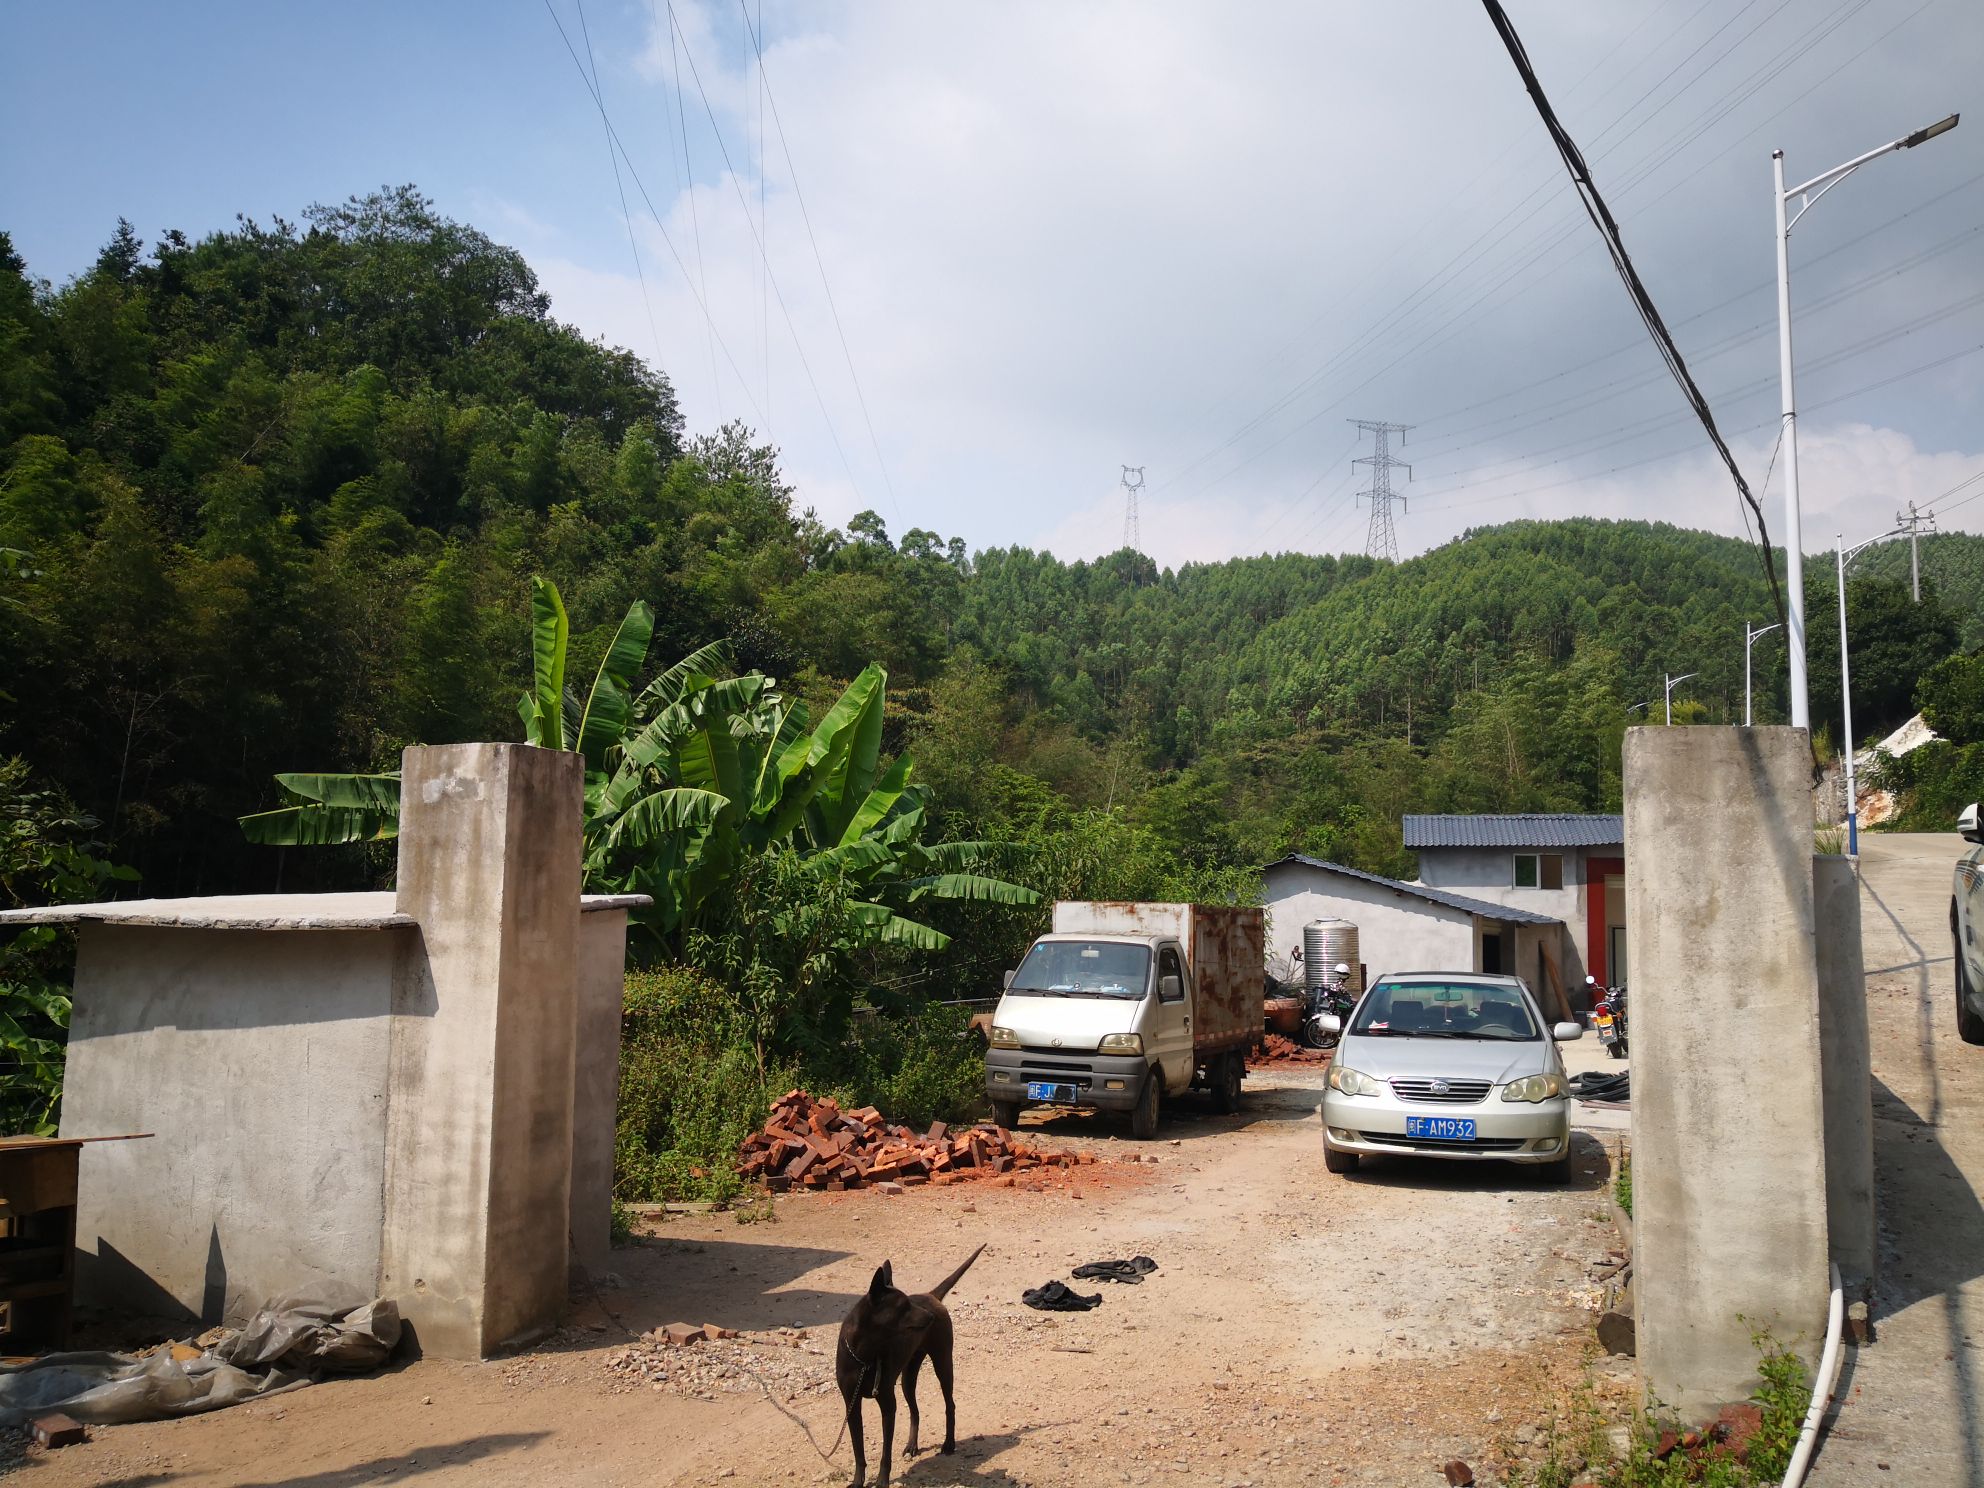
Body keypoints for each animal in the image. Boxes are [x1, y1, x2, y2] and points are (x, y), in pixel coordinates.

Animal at [837, 1245, 984, 1488]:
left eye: (909, 1303)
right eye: (903, 1306)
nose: (931, 1316)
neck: (864, 1356)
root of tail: (931, 1295)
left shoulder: (888, 1404)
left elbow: (885, 1455)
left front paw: (882, 1482)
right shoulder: (852, 1405)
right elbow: (858, 1451)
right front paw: (858, 1482)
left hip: (943, 1363)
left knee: (950, 1405)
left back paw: (949, 1444)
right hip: (907, 1378)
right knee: (915, 1411)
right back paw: (912, 1445)